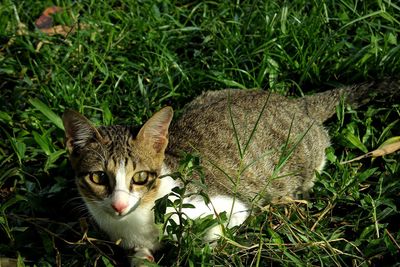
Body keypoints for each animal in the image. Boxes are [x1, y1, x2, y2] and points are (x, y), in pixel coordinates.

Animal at [61, 78, 398, 266]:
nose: (119, 205)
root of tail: (297, 104)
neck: (136, 223)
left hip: (308, 158)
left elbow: (213, 235)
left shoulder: (226, 208)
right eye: (98, 177)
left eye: (140, 178)